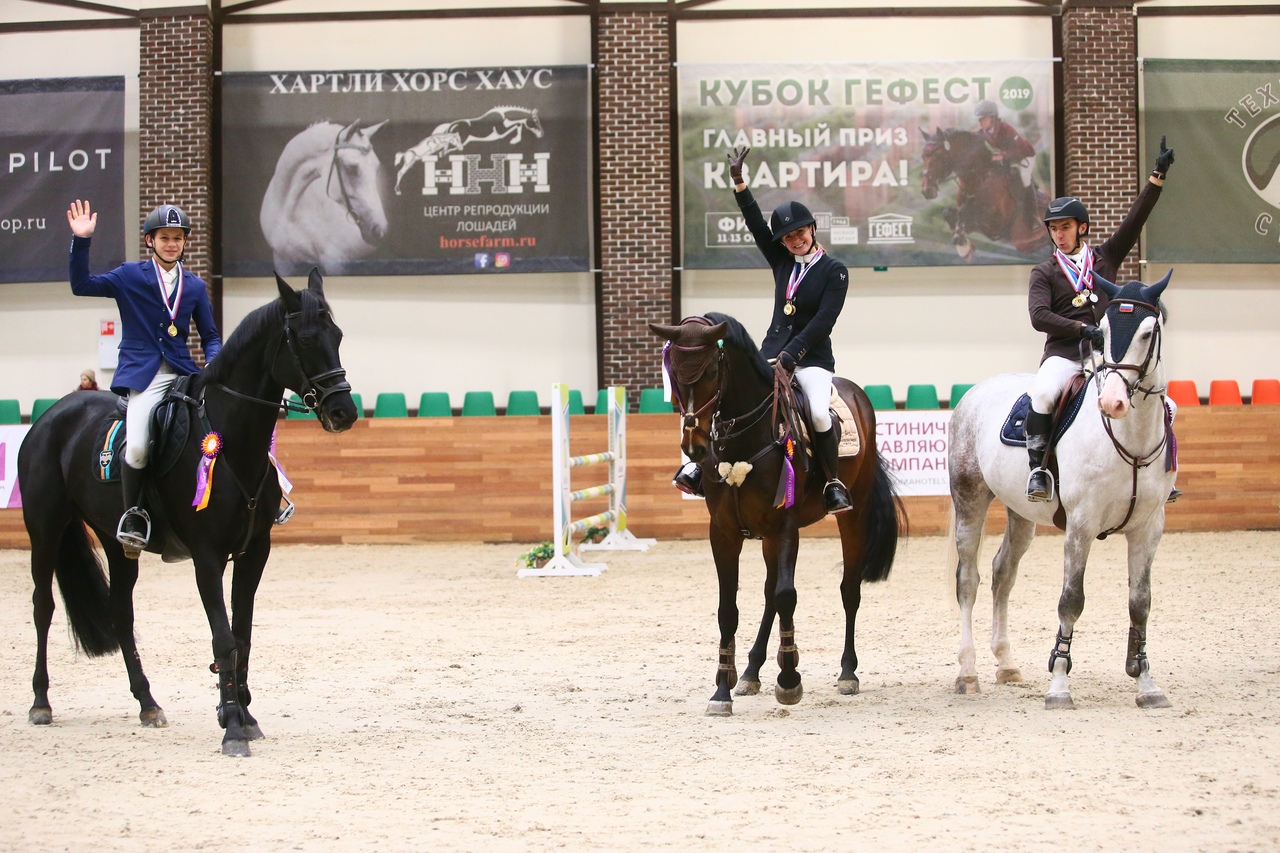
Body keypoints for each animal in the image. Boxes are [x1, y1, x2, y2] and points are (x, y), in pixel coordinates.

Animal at [18, 269, 357, 756]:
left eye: (339, 336)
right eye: (308, 339)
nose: (343, 412)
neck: (231, 440)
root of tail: (51, 414)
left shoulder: (255, 552)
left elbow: (242, 634)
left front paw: (244, 714)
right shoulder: (206, 555)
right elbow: (223, 637)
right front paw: (232, 726)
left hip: (116, 542)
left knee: (121, 612)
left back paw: (148, 705)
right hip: (45, 528)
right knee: (42, 605)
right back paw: (41, 702)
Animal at [260, 119, 389, 275]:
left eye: (376, 167)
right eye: (351, 168)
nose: (379, 229)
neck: (291, 213)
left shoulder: (335, 264)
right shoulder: (282, 261)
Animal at [650, 313, 904, 717]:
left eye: (711, 372)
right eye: (673, 373)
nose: (694, 447)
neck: (743, 441)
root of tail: (857, 394)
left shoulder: (786, 526)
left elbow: (787, 595)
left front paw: (789, 681)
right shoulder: (724, 532)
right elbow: (729, 608)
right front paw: (722, 689)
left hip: (852, 514)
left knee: (848, 589)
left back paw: (848, 672)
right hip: (767, 535)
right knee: (770, 595)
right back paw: (751, 672)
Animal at [919, 127, 1051, 261]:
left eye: (938, 156)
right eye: (923, 157)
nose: (926, 190)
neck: (977, 180)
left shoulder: (995, 223)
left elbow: (963, 212)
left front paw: (962, 243)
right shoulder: (979, 227)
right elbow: (949, 213)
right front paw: (965, 248)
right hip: (1022, 243)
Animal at [948, 271, 1178, 710]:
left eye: (1147, 332)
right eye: (1102, 331)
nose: (1113, 402)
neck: (1130, 440)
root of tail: (975, 391)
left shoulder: (1149, 528)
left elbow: (1140, 604)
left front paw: (1146, 683)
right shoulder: (1081, 525)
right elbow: (1071, 600)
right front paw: (1058, 686)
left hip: (1021, 513)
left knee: (1003, 573)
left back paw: (1006, 664)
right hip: (970, 500)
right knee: (968, 580)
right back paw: (968, 672)